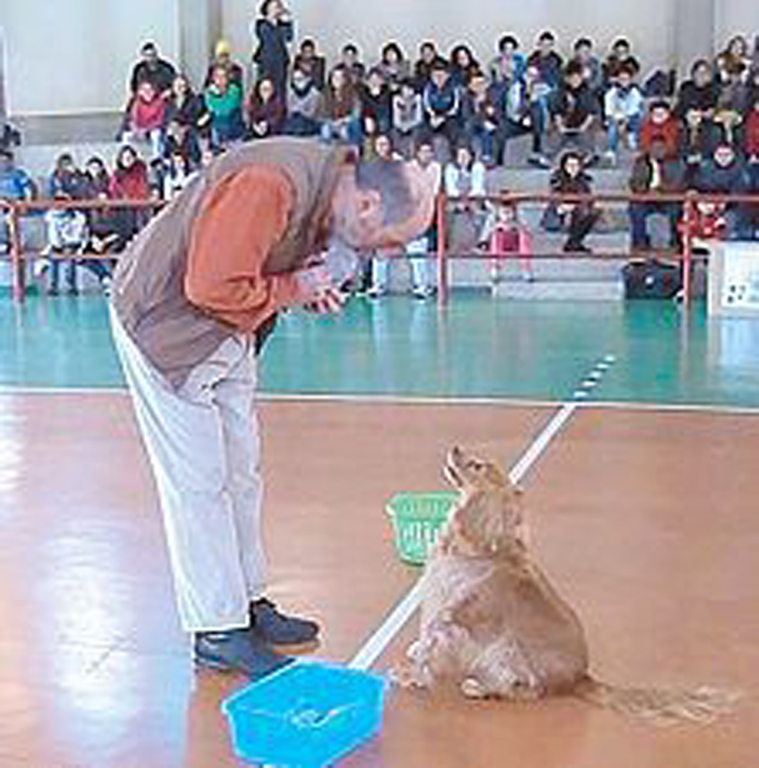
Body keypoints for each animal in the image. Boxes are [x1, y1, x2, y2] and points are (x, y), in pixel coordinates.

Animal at [394, 448, 740, 724]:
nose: (455, 447)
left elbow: (430, 648)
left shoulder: (451, 617)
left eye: (477, 465)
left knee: (526, 691)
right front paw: (413, 653)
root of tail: (580, 678)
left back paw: (479, 688)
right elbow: (424, 642)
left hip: (508, 651)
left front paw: (409, 675)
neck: (480, 547)